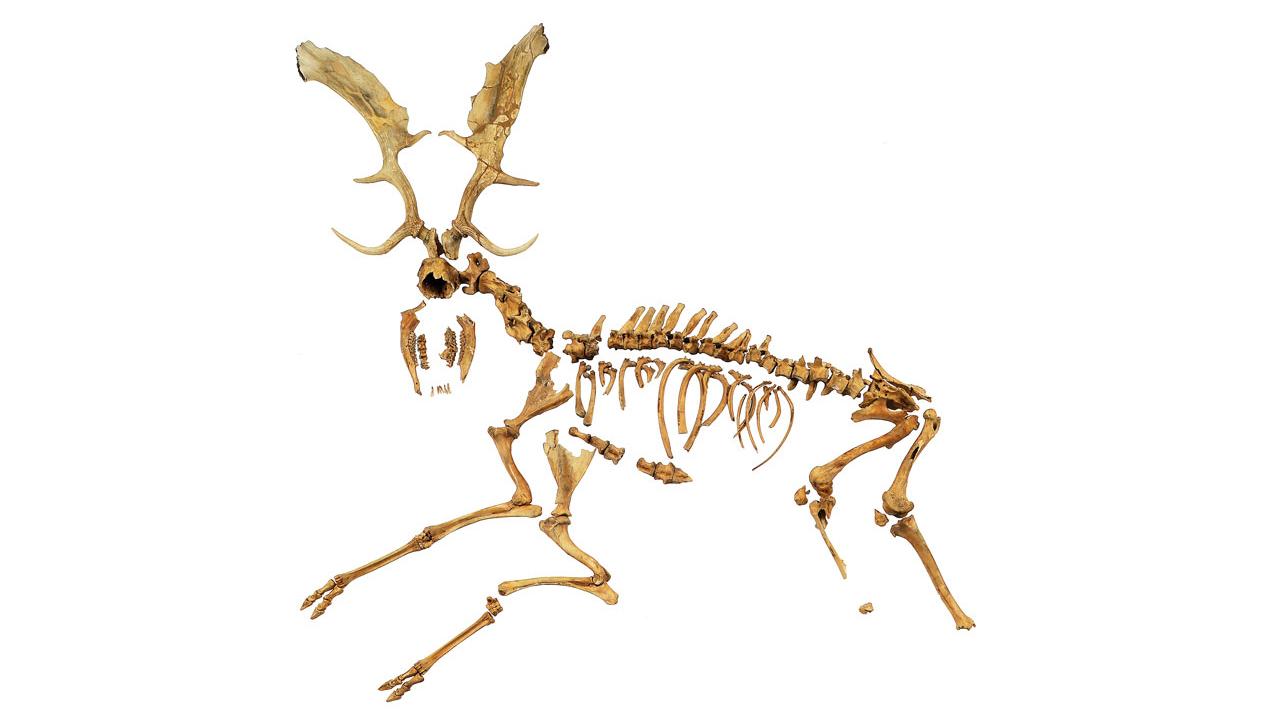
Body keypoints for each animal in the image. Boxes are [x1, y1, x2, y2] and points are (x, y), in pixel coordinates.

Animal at [294, 24, 974, 704]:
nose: (432, 281)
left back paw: (953, 613)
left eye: (461, 272)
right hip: (869, 411)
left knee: (893, 456)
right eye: (428, 267)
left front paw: (419, 663)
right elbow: (471, 516)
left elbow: (574, 566)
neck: (549, 347)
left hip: (870, 412)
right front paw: (330, 591)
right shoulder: (524, 452)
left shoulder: (556, 452)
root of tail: (855, 379)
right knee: (885, 450)